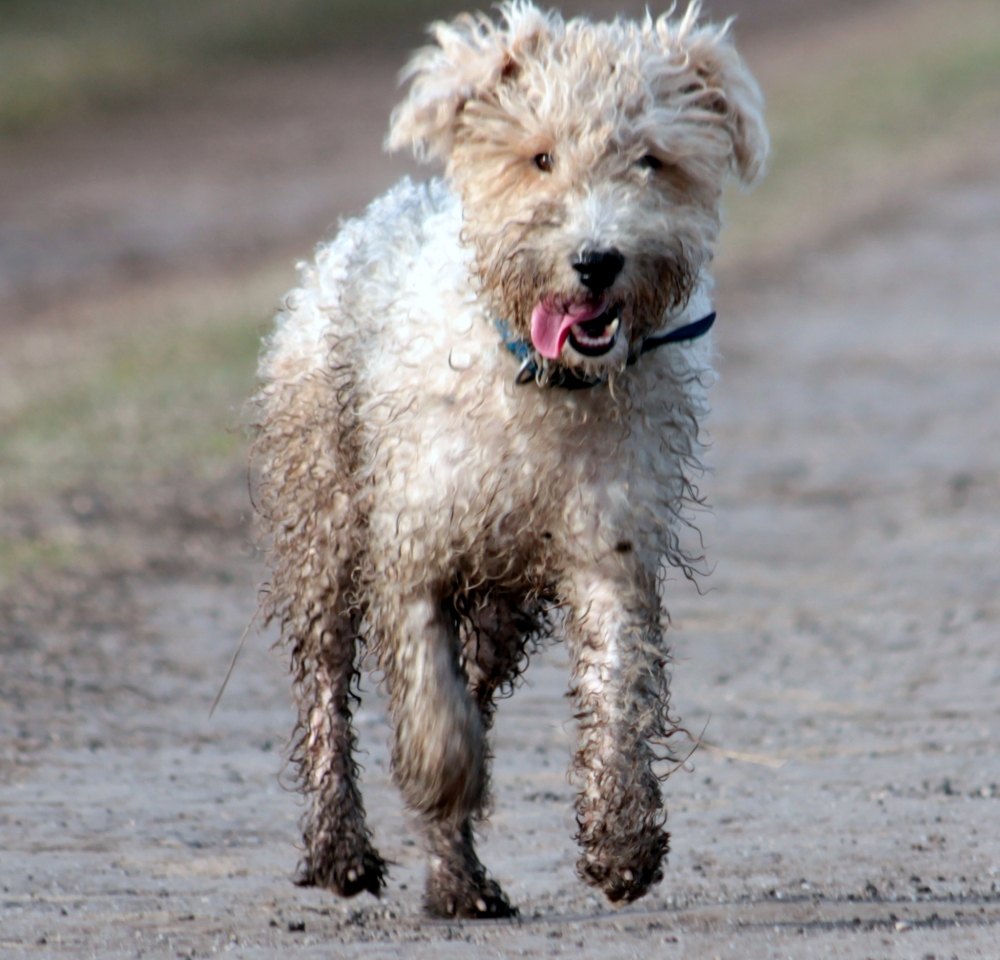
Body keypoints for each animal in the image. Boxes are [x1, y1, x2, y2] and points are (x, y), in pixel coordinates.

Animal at [252, 1, 764, 924]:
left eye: (652, 160)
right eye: (541, 157)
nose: (598, 259)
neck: (542, 384)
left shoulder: (608, 547)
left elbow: (617, 691)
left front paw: (621, 839)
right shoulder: (412, 545)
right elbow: (434, 709)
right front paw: (439, 776)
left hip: (499, 602)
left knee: (476, 681)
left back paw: (460, 878)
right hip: (323, 517)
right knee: (325, 686)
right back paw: (341, 846)